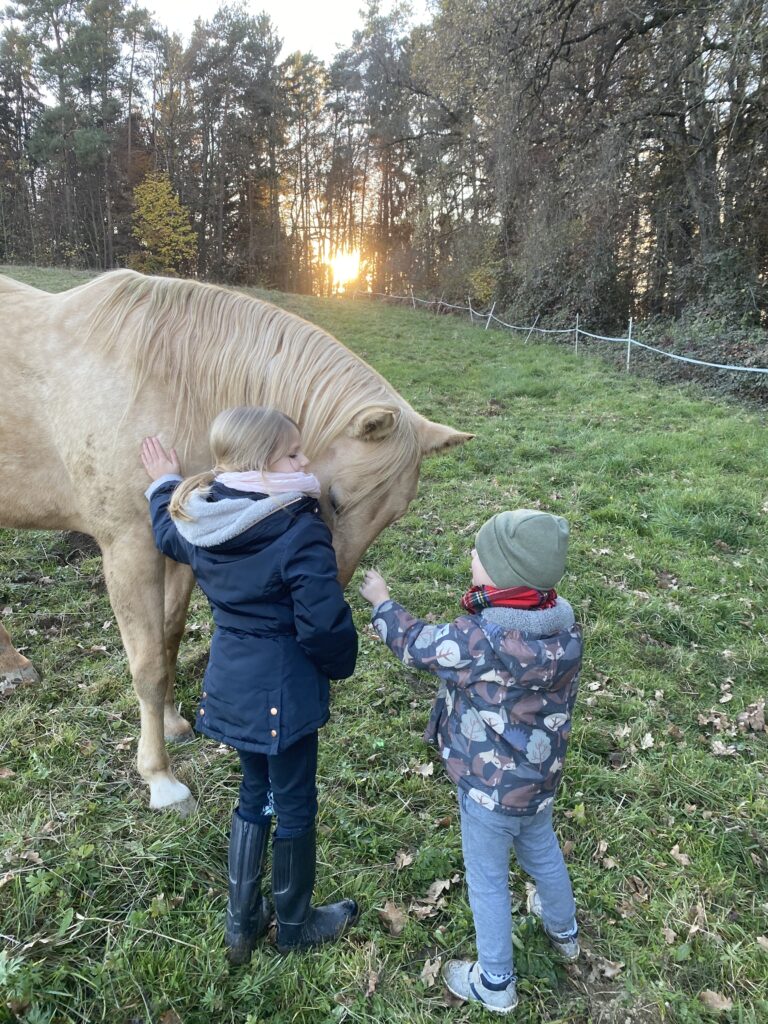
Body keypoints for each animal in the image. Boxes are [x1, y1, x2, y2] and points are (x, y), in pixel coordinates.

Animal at [0, 269, 471, 813]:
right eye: (332, 499)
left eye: (393, 516)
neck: (166, 380)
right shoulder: (128, 549)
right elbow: (147, 665)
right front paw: (161, 779)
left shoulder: (180, 546)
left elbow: (168, 638)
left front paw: (173, 724)